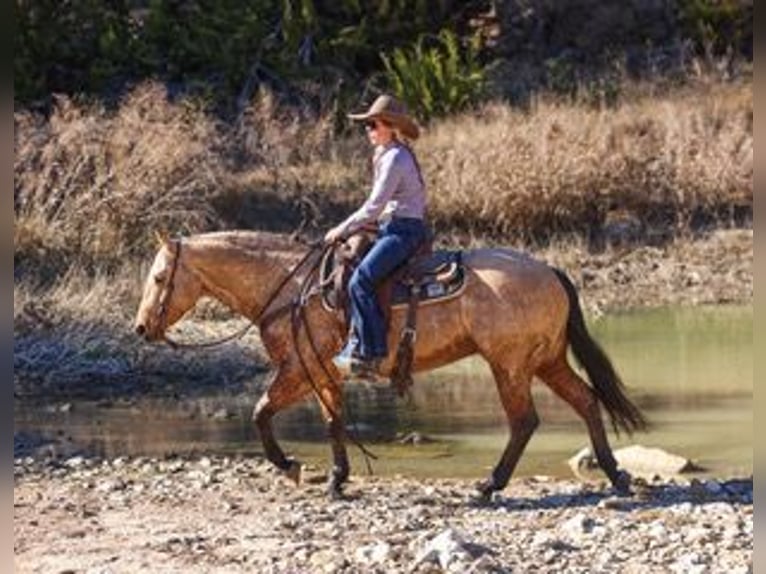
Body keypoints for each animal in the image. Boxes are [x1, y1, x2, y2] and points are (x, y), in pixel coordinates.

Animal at [134, 230, 647, 500]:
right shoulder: (323, 374)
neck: (292, 291)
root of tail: (550, 271)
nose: (140, 328)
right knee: (586, 401)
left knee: (524, 421)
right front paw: (336, 479)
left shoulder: (298, 371)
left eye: (159, 278)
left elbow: (261, 412)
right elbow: (334, 422)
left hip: (510, 366)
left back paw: (489, 484)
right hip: (546, 361)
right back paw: (616, 475)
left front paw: (290, 465)